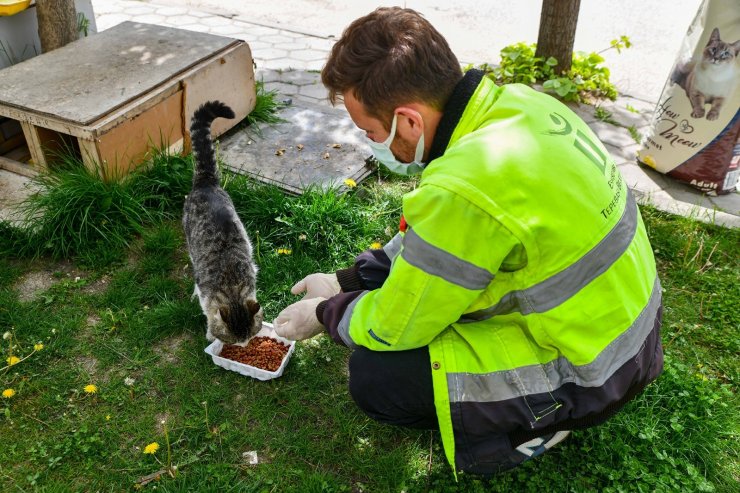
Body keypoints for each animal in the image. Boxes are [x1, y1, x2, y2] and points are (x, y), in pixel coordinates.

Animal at [182, 101, 264, 342]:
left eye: (249, 339)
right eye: (235, 341)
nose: (244, 346)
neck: (233, 288)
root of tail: (206, 181)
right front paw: (210, 333)